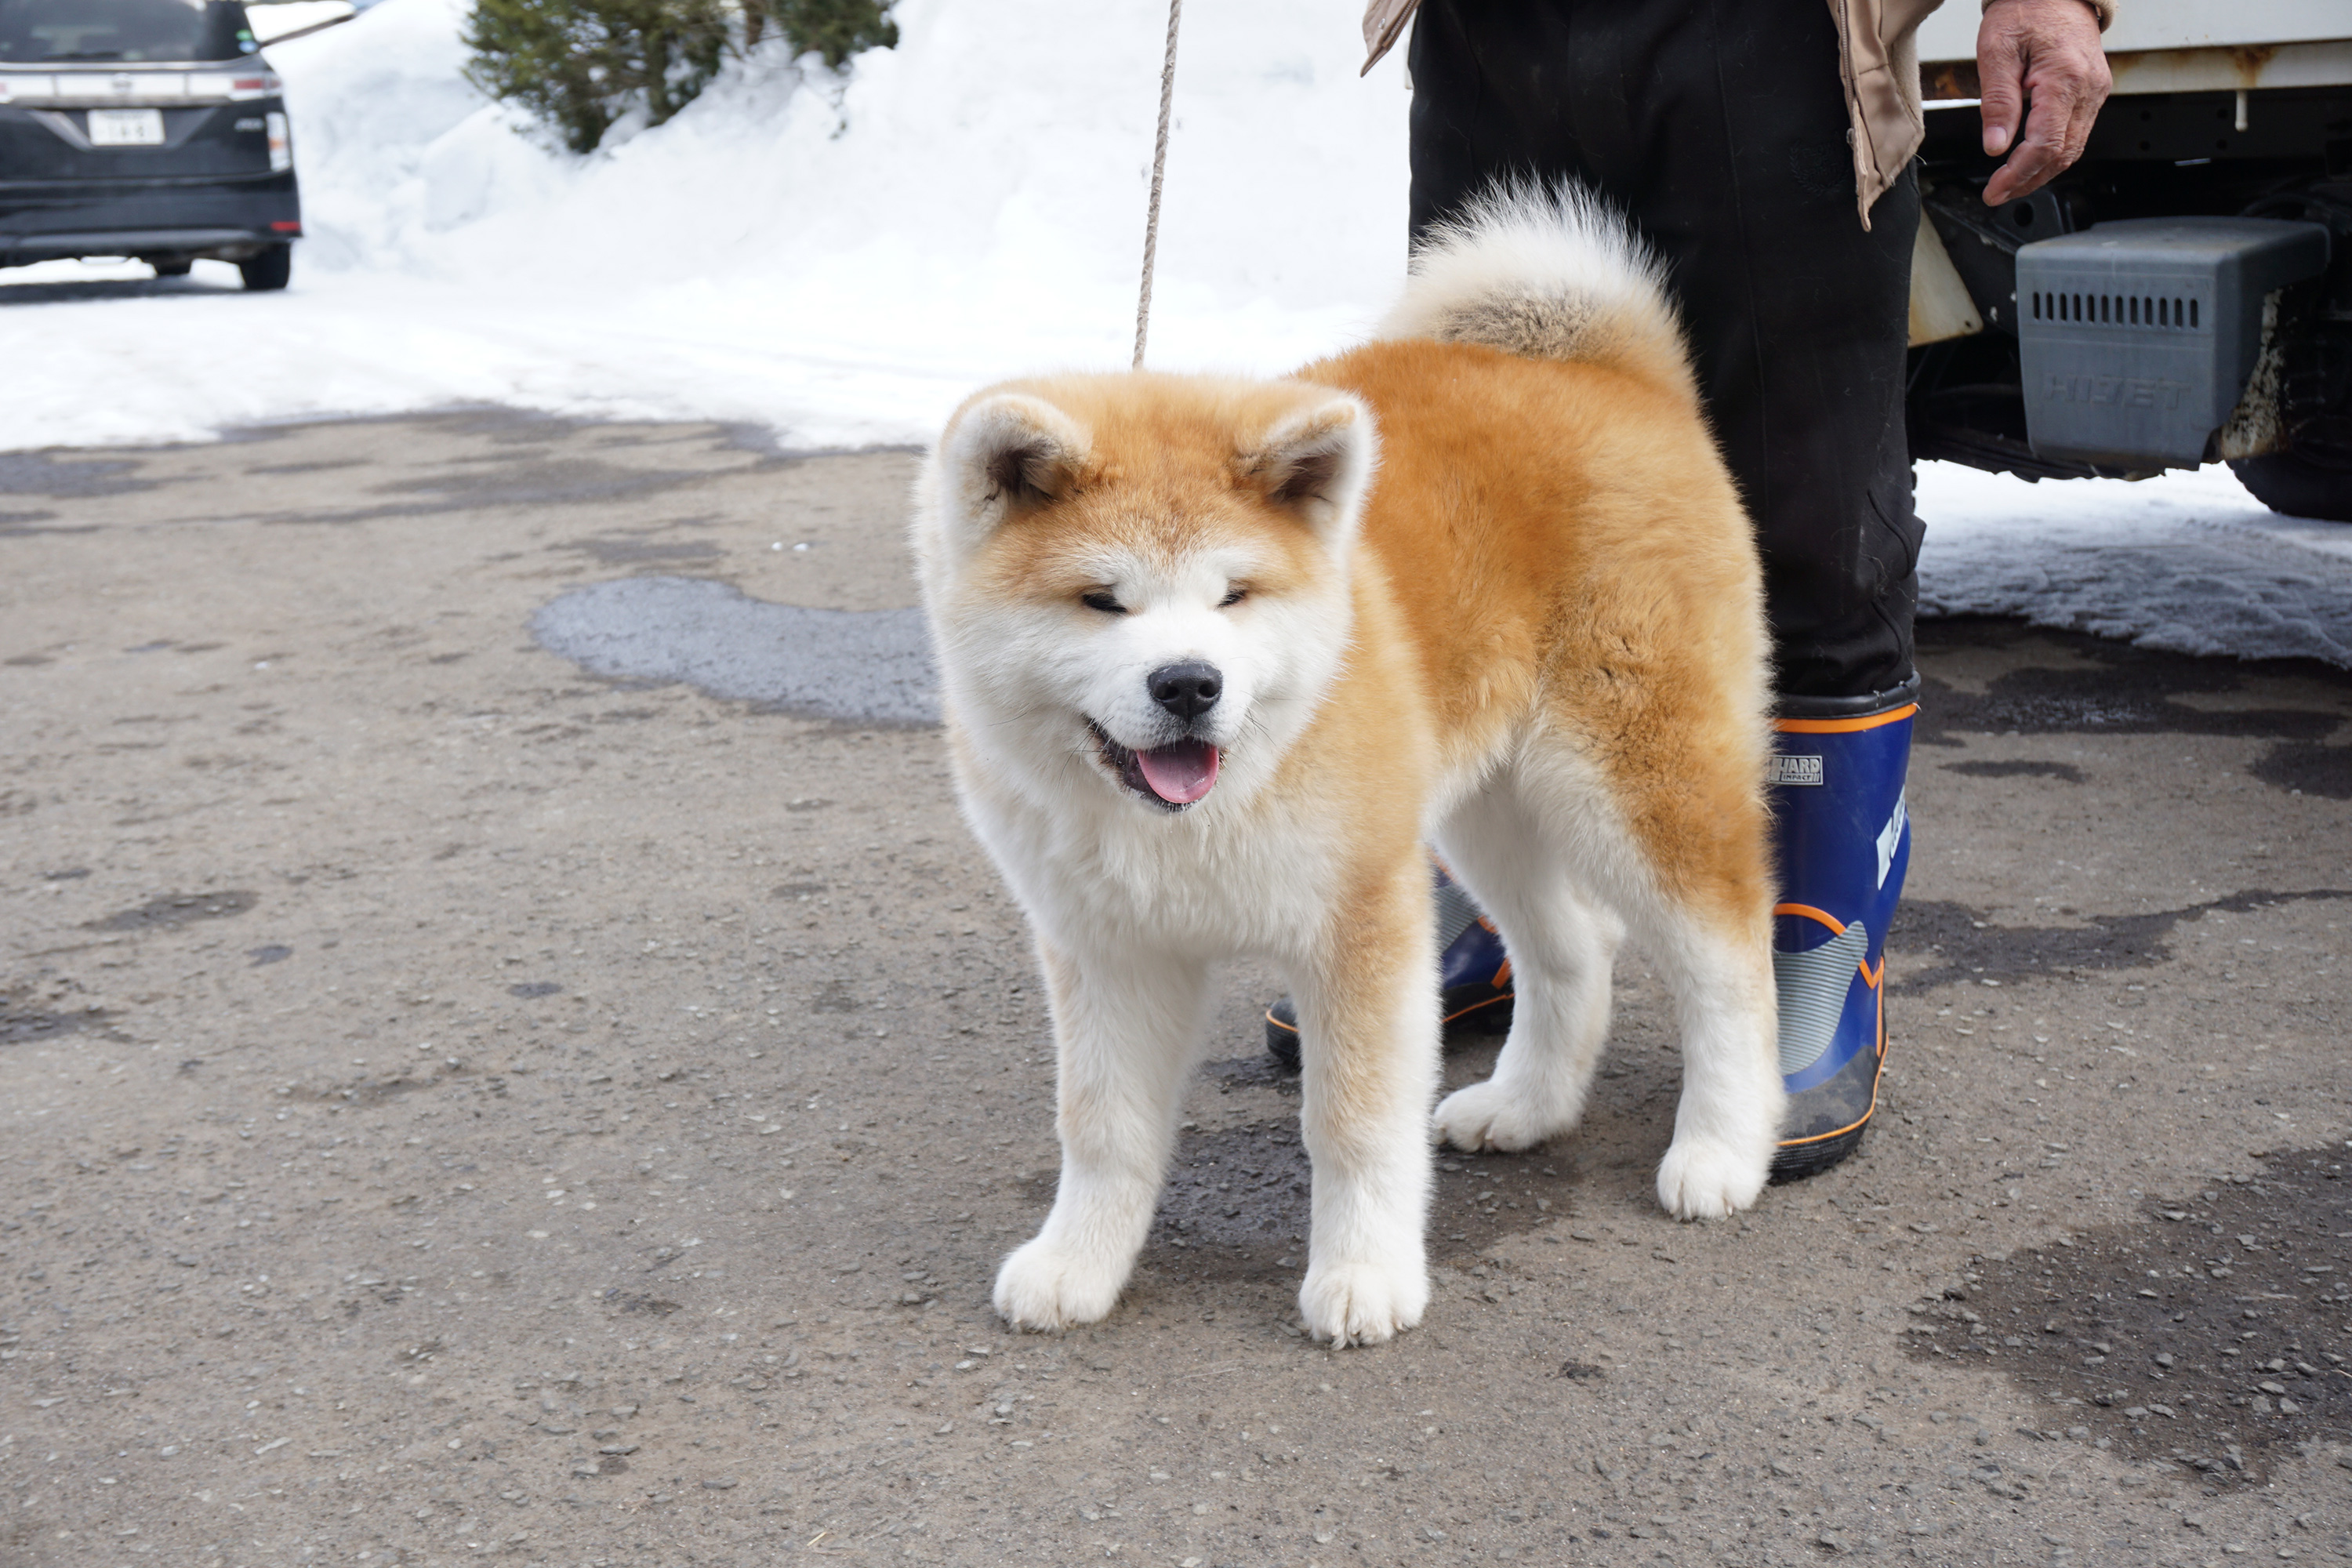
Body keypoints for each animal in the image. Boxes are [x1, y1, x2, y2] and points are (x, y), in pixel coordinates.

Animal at [917, 190, 1778, 1354]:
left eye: (1233, 594)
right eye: (1102, 600)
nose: (1188, 683)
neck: (1205, 806)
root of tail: (1614, 371)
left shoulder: (1359, 926)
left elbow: (1356, 1122)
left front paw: (1365, 1274)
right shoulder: (1109, 949)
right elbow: (1103, 1126)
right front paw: (1080, 1262)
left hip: (1629, 780)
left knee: (1727, 956)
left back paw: (1727, 1145)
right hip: (1489, 807)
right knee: (1573, 949)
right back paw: (1525, 1105)